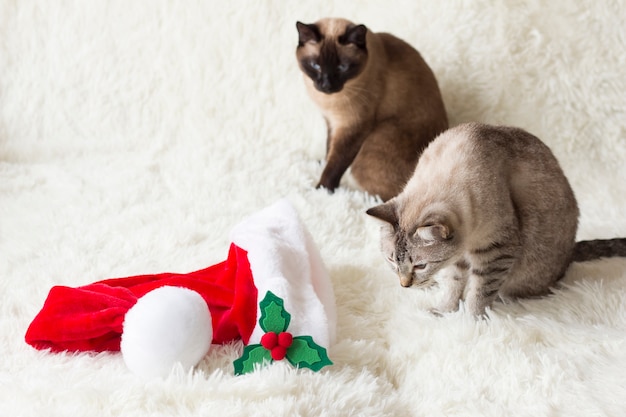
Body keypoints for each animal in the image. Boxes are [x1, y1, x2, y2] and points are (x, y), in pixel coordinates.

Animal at [294, 17, 446, 202]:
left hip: (370, 147)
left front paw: (322, 190)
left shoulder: (352, 127)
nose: (326, 85)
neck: (329, 101)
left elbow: (335, 164)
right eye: (315, 65)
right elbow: (329, 148)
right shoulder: (332, 122)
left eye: (342, 67)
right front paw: (322, 163)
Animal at [366, 122, 624, 316]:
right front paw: (445, 311)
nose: (404, 284)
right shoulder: (458, 258)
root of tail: (570, 253)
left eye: (421, 266)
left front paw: (472, 321)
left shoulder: (496, 250)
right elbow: (453, 285)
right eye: (391, 260)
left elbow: (480, 293)